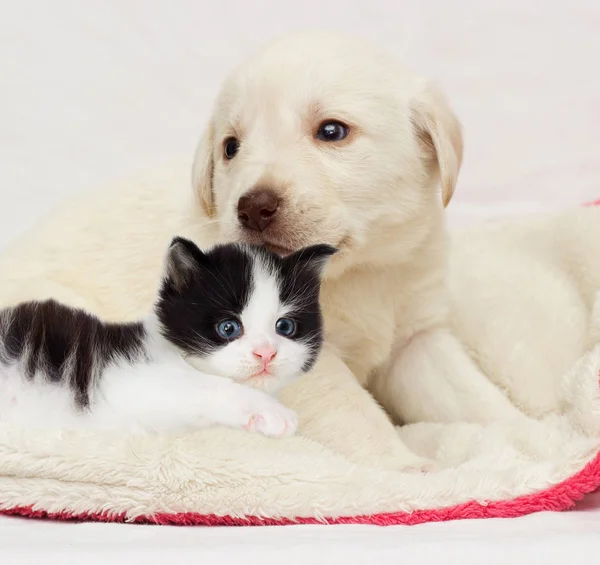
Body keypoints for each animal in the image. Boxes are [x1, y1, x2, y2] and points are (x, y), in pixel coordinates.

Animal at [0, 236, 336, 438]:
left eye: (285, 327)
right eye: (228, 328)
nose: (265, 353)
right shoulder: (126, 380)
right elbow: (207, 386)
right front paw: (273, 412)